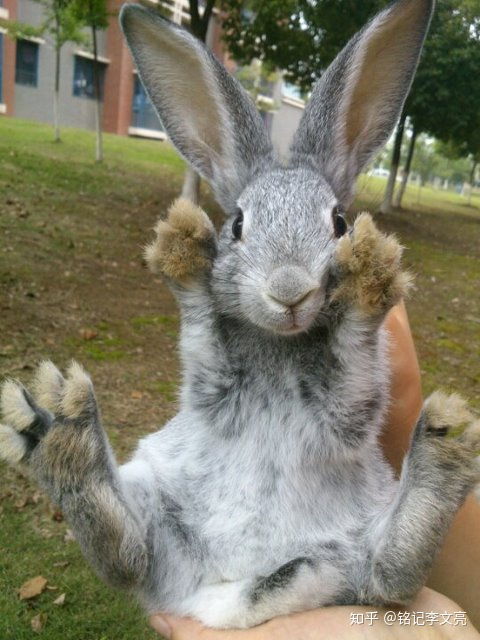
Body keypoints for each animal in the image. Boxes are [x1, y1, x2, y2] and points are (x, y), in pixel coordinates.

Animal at [0, 0, 480, 632]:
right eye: (237, 225)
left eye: (339, 223)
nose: (290, 290)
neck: (279, 343)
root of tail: (217, 594)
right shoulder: (211, 379)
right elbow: (202, 329)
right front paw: (182, 249)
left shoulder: (350, 403)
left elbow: (353, 360)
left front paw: (371, 278)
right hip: (156, 498)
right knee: (127, 555)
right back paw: (62, 427)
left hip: (361, 535)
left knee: (390, 575)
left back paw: (445, 447)